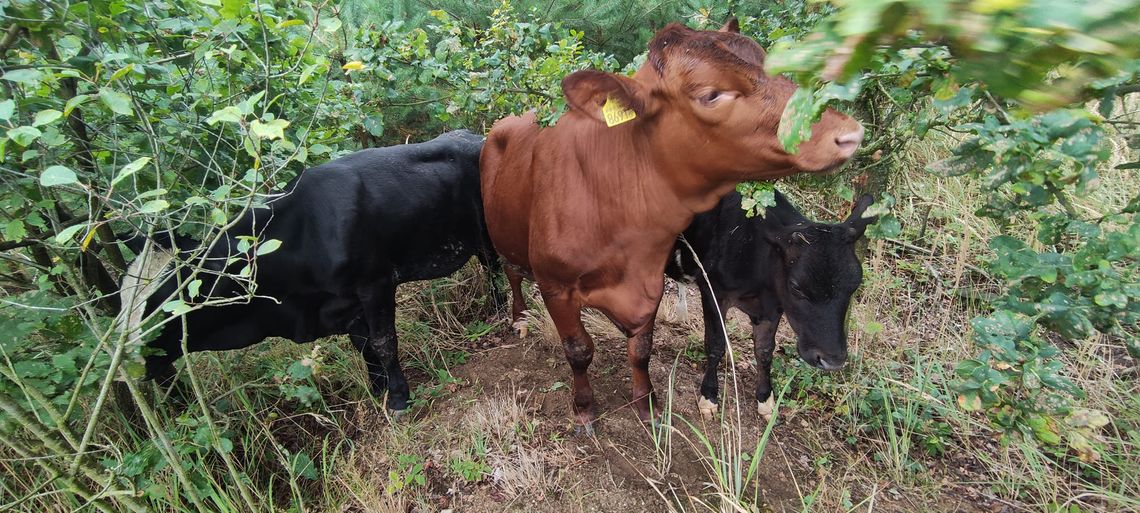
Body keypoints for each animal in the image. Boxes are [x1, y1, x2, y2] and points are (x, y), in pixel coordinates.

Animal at [124, 131, 494, 412]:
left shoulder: (375, 283)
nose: (127, 358)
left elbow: (383, 342)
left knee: (493, 269)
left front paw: (399, 398)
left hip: (486, 236)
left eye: (166, 297)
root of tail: (474, 136)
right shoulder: (344, 303)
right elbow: (364, 346)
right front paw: (378, 388)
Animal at [665, 190, 870, 419]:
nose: (832, 360)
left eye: (855, 285)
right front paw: (709, 397)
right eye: (796, 286)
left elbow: (764, 350)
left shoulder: (773, 307)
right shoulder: (713, 292)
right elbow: (716, 344)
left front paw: (765, 399)